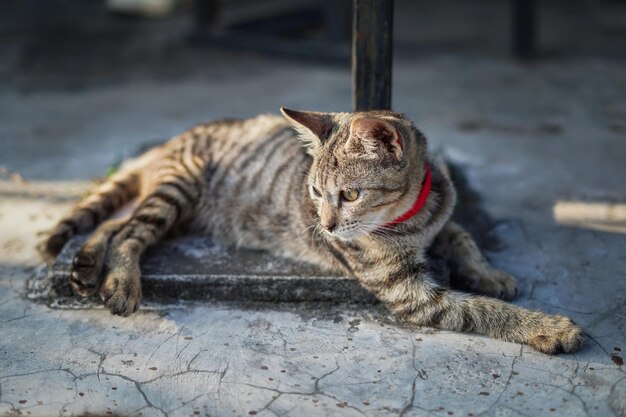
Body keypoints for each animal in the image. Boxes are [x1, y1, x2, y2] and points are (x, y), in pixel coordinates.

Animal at [40, 106, 580, 352]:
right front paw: (548, 327)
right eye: (316, 192)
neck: (411, 219)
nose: (325, 227)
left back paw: (86, 265)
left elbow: (464, 237)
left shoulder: (441, 221)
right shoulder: (410, 291)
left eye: (350, 195)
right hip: (179, 191)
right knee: (129, 231)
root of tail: (172, 140)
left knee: (115, 223)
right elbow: (481, 312)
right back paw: (118, 280)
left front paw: (489, 273)